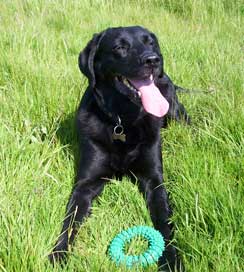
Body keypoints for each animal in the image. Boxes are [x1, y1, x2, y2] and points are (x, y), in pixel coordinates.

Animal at [49, 26, 189, 272]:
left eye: (151, 43)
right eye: (120, 47)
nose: (153, 60)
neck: (124, 121)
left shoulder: (154, 179)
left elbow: (165, 221)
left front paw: (172, 259)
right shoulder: (86, 184)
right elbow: (70, 219)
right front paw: (59, 252)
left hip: (174, 110)